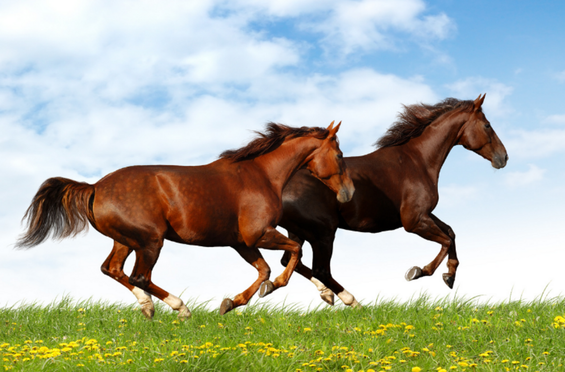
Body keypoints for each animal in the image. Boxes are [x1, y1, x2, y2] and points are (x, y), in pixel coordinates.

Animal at [16, 121, 352, 316]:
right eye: (339, 155)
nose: (348, 193)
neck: (261, 175)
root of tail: (95, 186)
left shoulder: (242, 243)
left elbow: (264, 269)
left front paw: (232, 303)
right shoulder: (258, 234)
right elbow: (292, 254)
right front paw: (274, 289)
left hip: (125, 240)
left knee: (112, 269)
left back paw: (147, 306)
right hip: (150, 241)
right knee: (139, 276)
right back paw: (180, 308)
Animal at [276, 94, 506, 306]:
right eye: (487, 125)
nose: (504, 157)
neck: (418, 160)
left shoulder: (423, 215)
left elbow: (450, 232)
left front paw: (449, 276)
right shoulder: (413, 221)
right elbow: (446, 240)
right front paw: (418, 271)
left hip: (300, 232)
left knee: (291, 260)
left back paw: (326, 294)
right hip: (323, 234)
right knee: (319, 269)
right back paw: (352, 301)